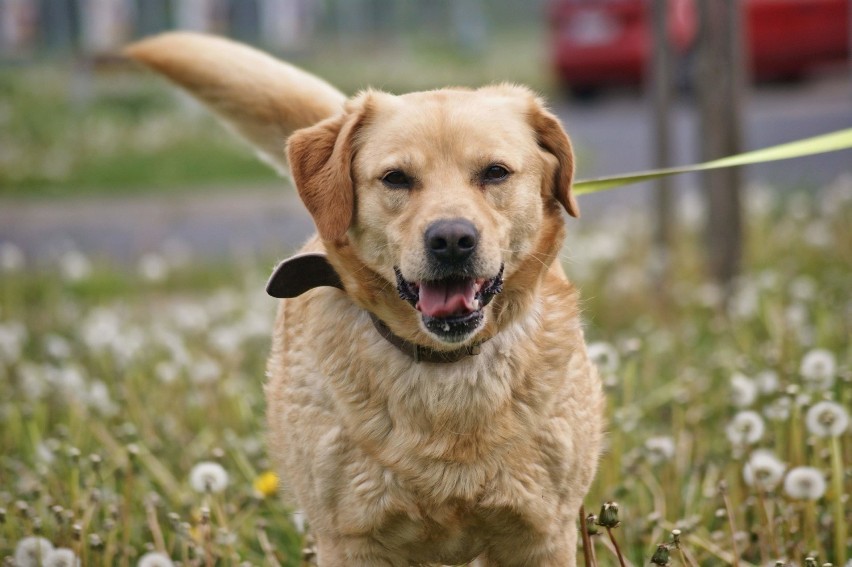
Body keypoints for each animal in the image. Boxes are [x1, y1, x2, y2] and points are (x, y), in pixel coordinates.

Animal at [128, 33, 604, 564]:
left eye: (495, 172)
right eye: (396, 178)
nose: (452, 239)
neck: (445, 368)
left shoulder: (541, 534)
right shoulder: (351, 540)